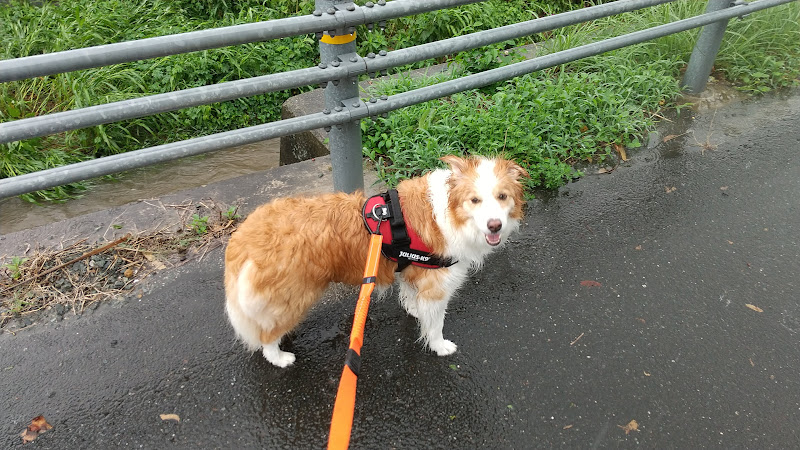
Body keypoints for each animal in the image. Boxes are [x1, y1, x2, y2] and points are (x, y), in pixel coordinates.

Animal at [222, 155, 528, 366]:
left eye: (502, 196)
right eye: (475, 200)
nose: (495, 226)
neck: (445, 213)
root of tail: (244, 237)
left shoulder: (412, 269)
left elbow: (410, 295)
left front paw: (413, 309)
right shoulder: (437, 287)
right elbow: (435, 325)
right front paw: (439, 346)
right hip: (294, 298)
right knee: (265, 336)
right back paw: (279, 357)